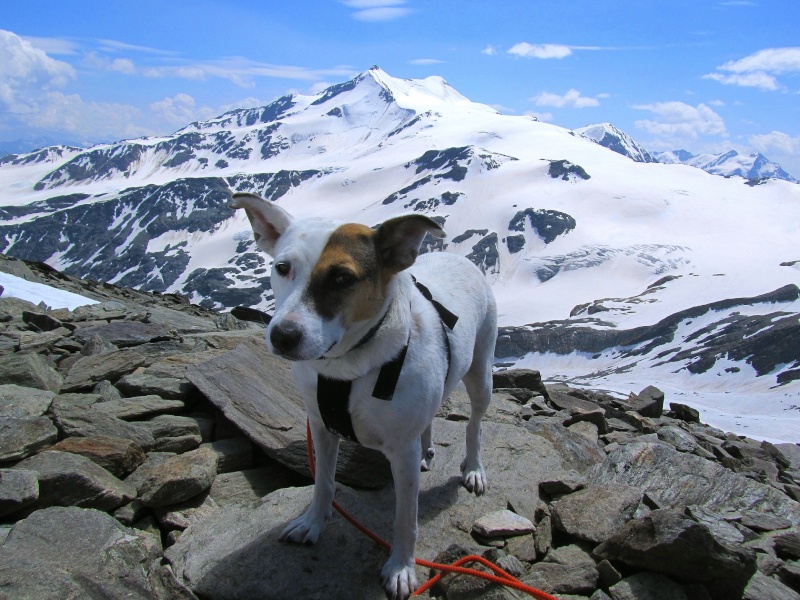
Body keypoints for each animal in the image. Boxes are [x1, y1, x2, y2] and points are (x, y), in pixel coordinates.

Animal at [228, 193, 496, 600]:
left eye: (343, 278)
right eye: (282, 267)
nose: (283, 336)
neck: (347, 365)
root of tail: (460, 259)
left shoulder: (400, 451)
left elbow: (406, 518)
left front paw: (401, 567)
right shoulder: (320, 426)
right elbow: (323, 481)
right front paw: (312, 522)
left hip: (481, 374)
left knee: (475, 426)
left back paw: (475, 468)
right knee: (429, 418)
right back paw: (427, 449)